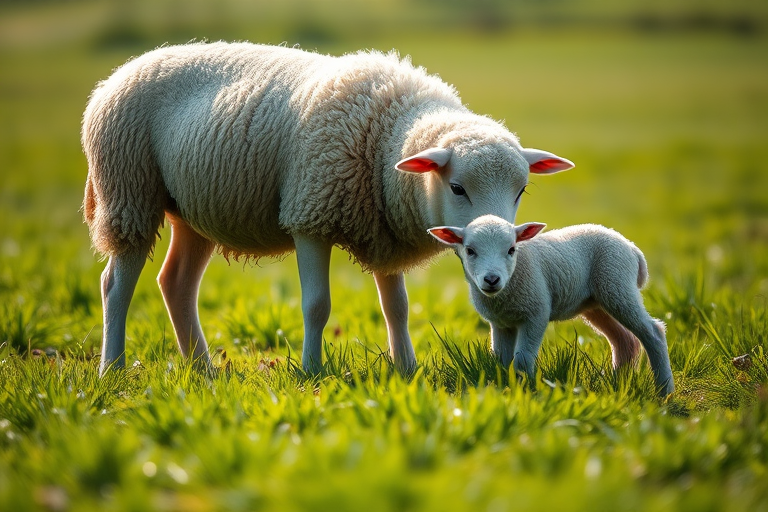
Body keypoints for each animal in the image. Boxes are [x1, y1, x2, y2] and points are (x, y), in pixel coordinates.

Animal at [82, 41, 575, 376]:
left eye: (521, 191)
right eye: (457, 188)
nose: (502, 254)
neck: (386, 142)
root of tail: (115, 76)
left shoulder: (384, 229)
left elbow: (397, 308)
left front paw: (407, 369)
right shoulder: (310, 216)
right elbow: (317, 305)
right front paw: (312, 371)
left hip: (193, 210)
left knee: (176, 283)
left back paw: (203, 370)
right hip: (128, 191)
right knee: (115, 284)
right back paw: (113, 368)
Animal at [429, 215, 674, 396]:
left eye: (511, 249)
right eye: (470, 251)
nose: (491, 280)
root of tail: (632, 248)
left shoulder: (536, 313)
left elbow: (522, 360)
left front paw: (526, 390)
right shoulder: (500, 323)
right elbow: (501, 361)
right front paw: (505, 388)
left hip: (617, 283)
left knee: (653, 331)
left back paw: (664, 391)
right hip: (596, 302)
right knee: (624, 339)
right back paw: (617, 384)